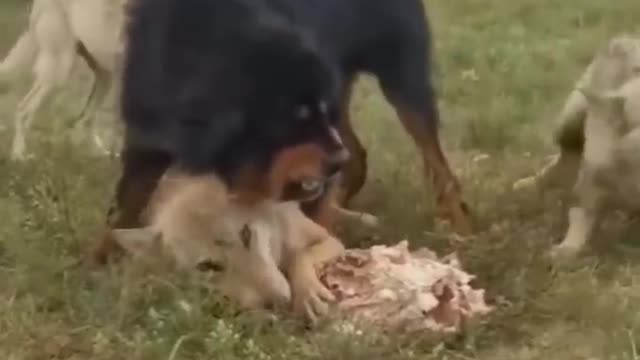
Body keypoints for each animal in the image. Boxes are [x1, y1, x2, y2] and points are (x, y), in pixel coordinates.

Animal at [0, 0, 126, 159]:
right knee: (23, 109)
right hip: (59, 73)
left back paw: (96, 153)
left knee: (84, 120)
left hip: (103, 75)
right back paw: (19, 156)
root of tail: (38, 3)